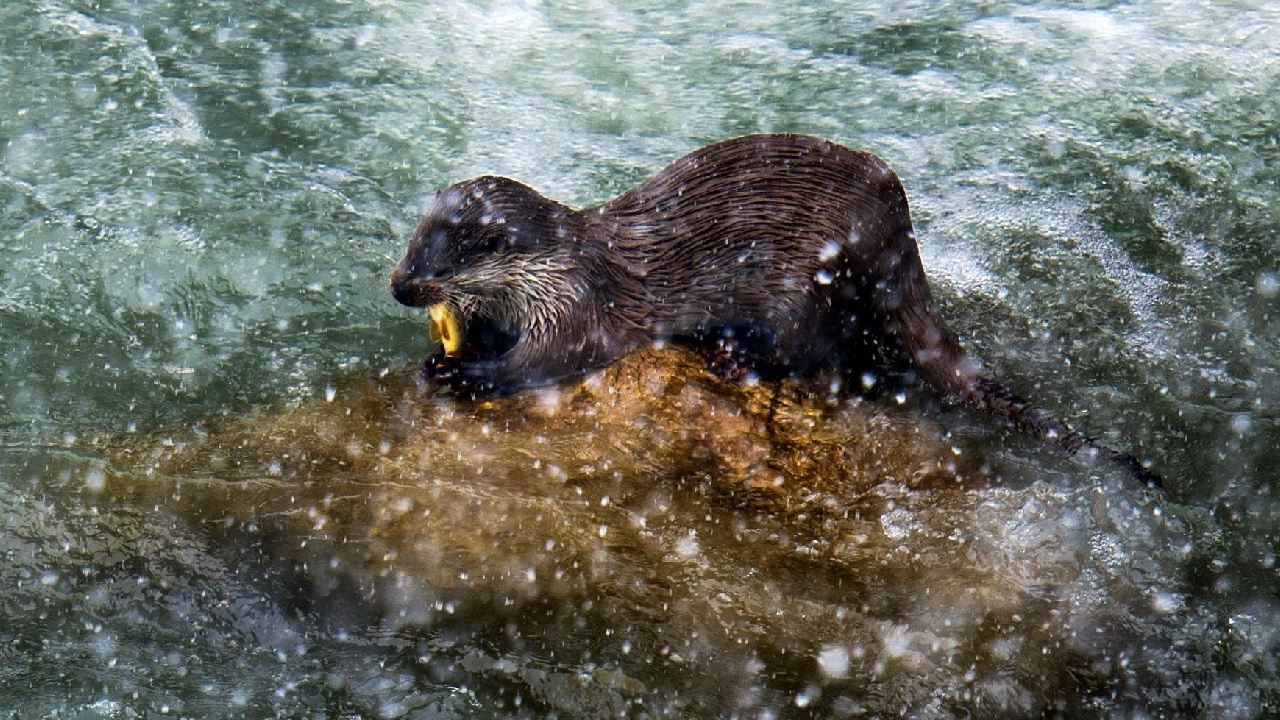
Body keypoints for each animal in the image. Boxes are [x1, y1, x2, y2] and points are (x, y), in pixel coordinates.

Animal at [386, 131, 1162, 484]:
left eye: (440, 262)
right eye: (411, 243)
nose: (397, 286)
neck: (556, 267)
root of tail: (896, 223)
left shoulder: (579, 305)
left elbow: (550, 359)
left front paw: (469, 375)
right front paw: (444, 354)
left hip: (810, 282)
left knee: (820, 350)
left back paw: (734, 354)